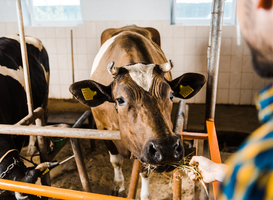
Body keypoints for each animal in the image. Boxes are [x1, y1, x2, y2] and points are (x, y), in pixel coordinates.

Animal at [69, 25, 205, 198]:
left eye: (171, 95)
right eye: (120, 100)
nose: (166, 148)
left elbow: (144, 170)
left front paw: (145, 195)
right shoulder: (102, 128)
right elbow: (116, 161)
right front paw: (118, 186)